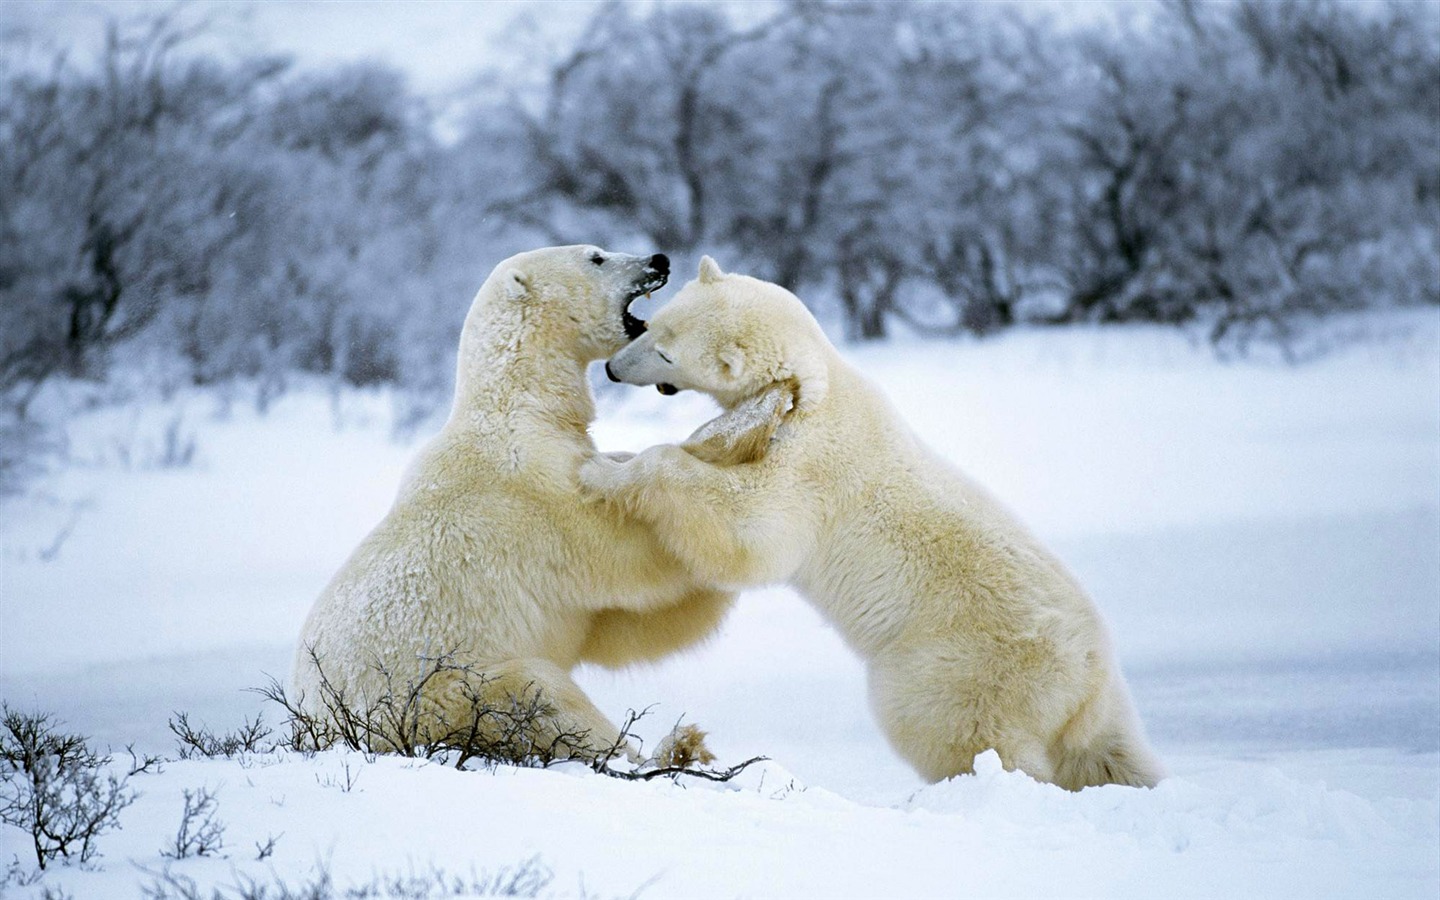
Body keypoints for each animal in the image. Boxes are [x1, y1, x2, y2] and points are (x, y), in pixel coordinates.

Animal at [296, 246, 737, 760]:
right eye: (597, 257)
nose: (659, 259)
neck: (520, 409)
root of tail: (317, 727)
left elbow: (619, 628)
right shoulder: (534, 496)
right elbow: (628, 558)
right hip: (438, 695)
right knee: (537, 693)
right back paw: (665, 748)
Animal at [578, 254, 1163, 783]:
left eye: (665, 353)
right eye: (653, 323)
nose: (612, 368)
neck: (816, 385)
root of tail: (1090, 677)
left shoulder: (812, 467)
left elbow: (752, 530)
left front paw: (601, 472)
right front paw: (615, 457)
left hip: (961, 664)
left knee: (954, 729)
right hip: (1087, 705)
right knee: (1109, 753)